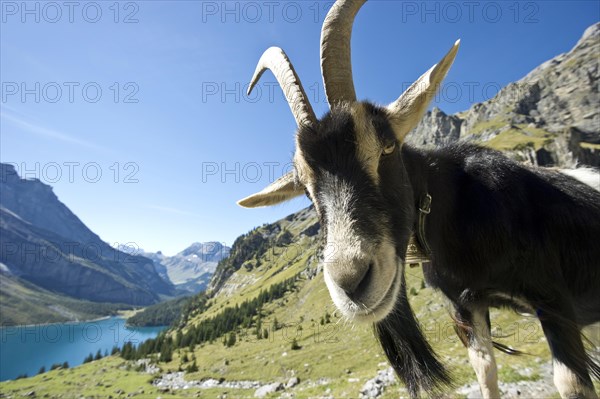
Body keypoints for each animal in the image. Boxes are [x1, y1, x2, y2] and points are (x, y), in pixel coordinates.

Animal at [237, 1, 596, 398]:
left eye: (387, 147)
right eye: (303, 185)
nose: (351, 283)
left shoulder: (554, 299)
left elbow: (571, 383)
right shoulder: (465, 305)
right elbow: (485, 370)